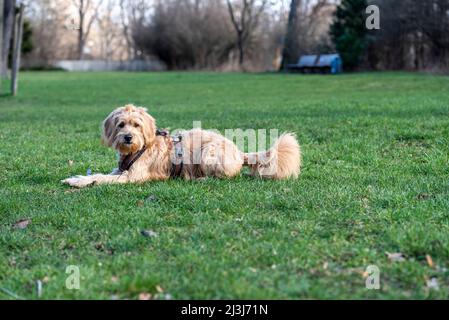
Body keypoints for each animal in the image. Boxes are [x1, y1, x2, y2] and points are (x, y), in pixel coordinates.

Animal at [61, 104, 300, 188]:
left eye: (136, 125)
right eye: (121, 124)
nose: (128, 137)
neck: (140, 148)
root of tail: (241, 153)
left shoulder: (131, 176)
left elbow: (101, 178)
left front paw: (79, 182)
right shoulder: (120, 170)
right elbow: (99, 174)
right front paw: (77, 178)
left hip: (208, 152)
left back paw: (200, 179)